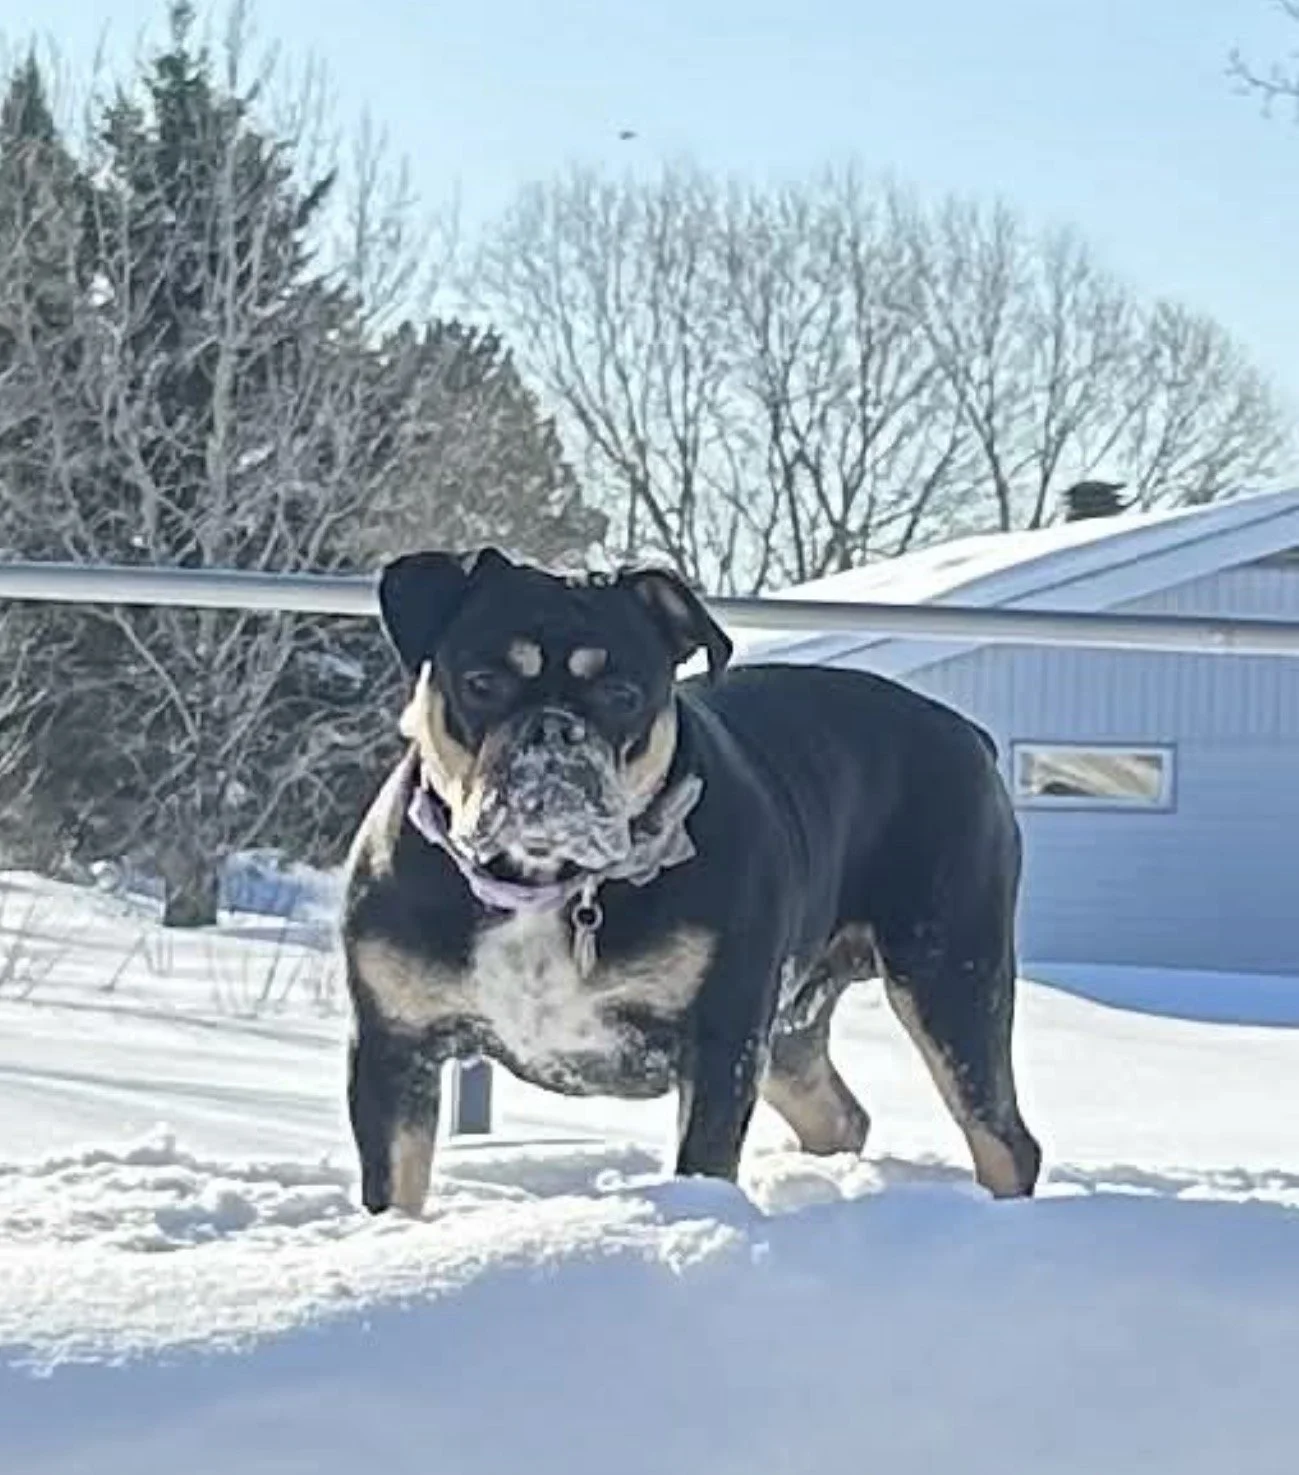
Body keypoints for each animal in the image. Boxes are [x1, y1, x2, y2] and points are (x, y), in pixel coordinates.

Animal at [340, 547, 1042, 1215]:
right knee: (840, 1115)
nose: (555, 728)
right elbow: (396, 1187)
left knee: (1002, 1139)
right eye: (481, 683)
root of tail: (969, 735)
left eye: (623, 695)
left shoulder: (719, 1044)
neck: (545, 883)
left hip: (949, 978)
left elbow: (702, 1162)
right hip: (791, 1028)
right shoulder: (392, 1049)